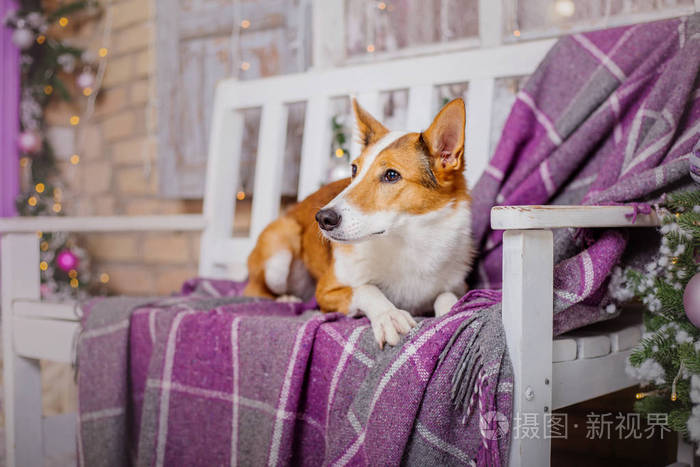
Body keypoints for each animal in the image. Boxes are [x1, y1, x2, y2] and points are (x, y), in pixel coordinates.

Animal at [242, 98, 476, 348]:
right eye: (354, 169)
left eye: (391, 175)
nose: (323, 219)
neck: (405, 242)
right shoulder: (325, 291)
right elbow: (366, 288)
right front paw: (388, 314)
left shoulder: (459, 285)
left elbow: (447, 295)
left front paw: (451, 310)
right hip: (279, 255)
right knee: (255, 289)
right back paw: (286, 298)